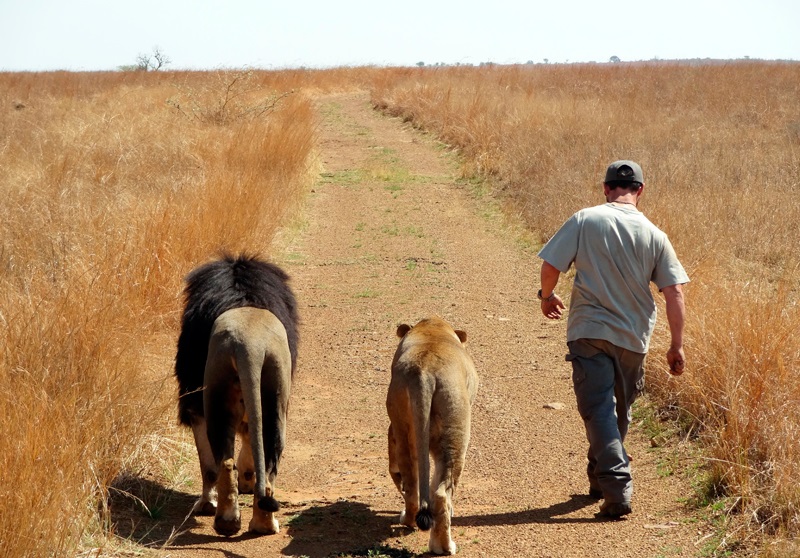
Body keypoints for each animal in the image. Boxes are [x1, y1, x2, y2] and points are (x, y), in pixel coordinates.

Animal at [174, 254, 299, 536]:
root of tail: (250, 343)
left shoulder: (195, 404)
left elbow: (208, 465)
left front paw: (206, 504)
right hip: (275, 395)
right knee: (268, 462)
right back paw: (263, 525)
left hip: (216, 393)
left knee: (223, 463)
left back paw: (227, 520)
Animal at [386, 316, 479, 555]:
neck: (432, 327)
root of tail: (424, 372)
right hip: (455, 425)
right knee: (442, 492)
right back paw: (444, 547)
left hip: (402, 423)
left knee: (412, 482)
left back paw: (408, 520)